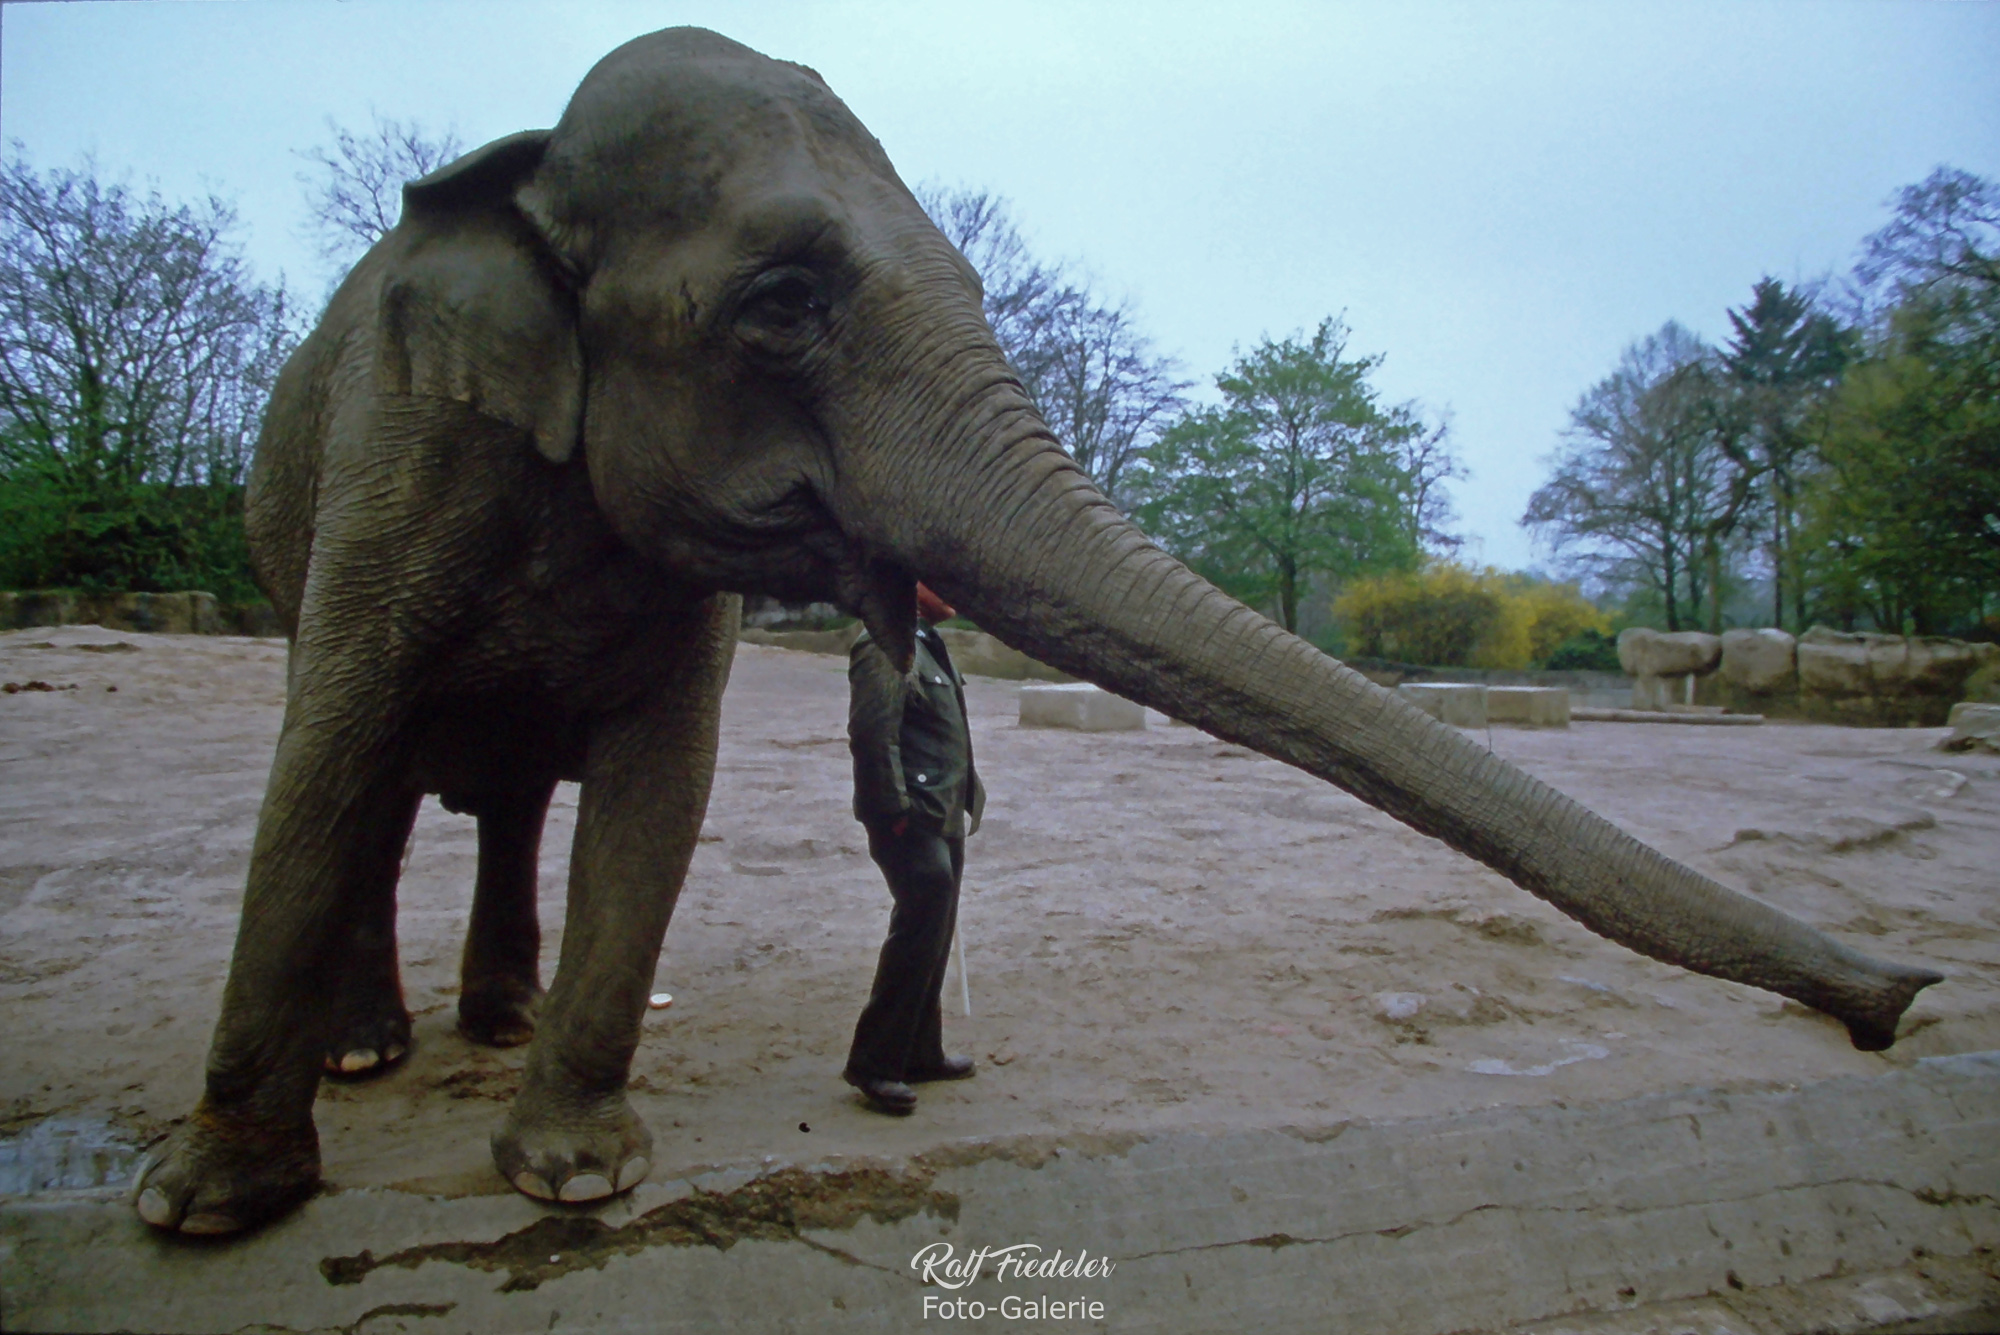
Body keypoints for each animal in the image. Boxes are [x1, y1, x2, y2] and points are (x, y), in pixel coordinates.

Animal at [131, 26, 1942, 1235]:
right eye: (779, 302)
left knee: (505, 795)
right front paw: (206, 1207)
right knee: (376, 778)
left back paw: (491, 1023)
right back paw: (371, 1049)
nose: (1902, 1001)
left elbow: (662, 780)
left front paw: (573, 1171)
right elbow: (333, 746)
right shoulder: (399, 458)